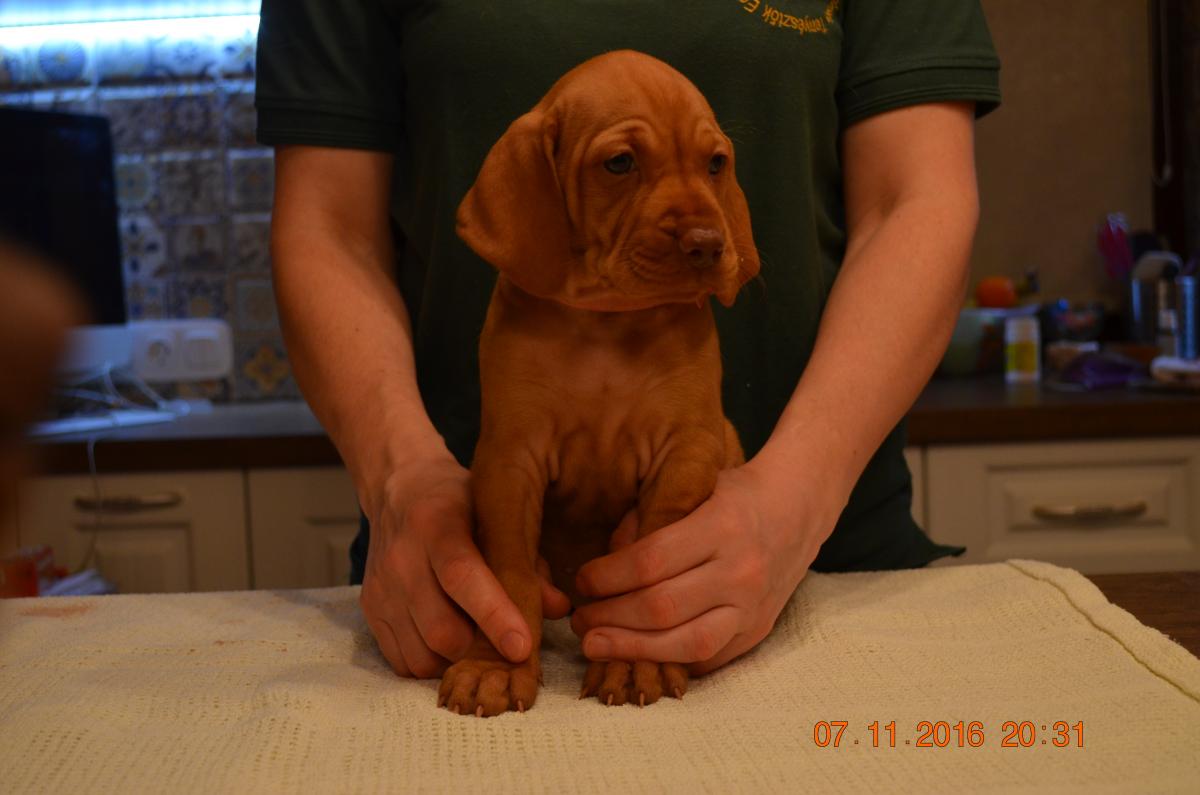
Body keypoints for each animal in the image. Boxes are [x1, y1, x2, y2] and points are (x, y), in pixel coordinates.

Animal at [439, 50, 760, 716]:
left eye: (715, 164)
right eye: (620, 163)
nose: (708, 244)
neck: (607, 325)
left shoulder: (689, 451)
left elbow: (651, 552)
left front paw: (636, 660)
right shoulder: (509, 460)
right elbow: (508, 572)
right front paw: (495, 664)